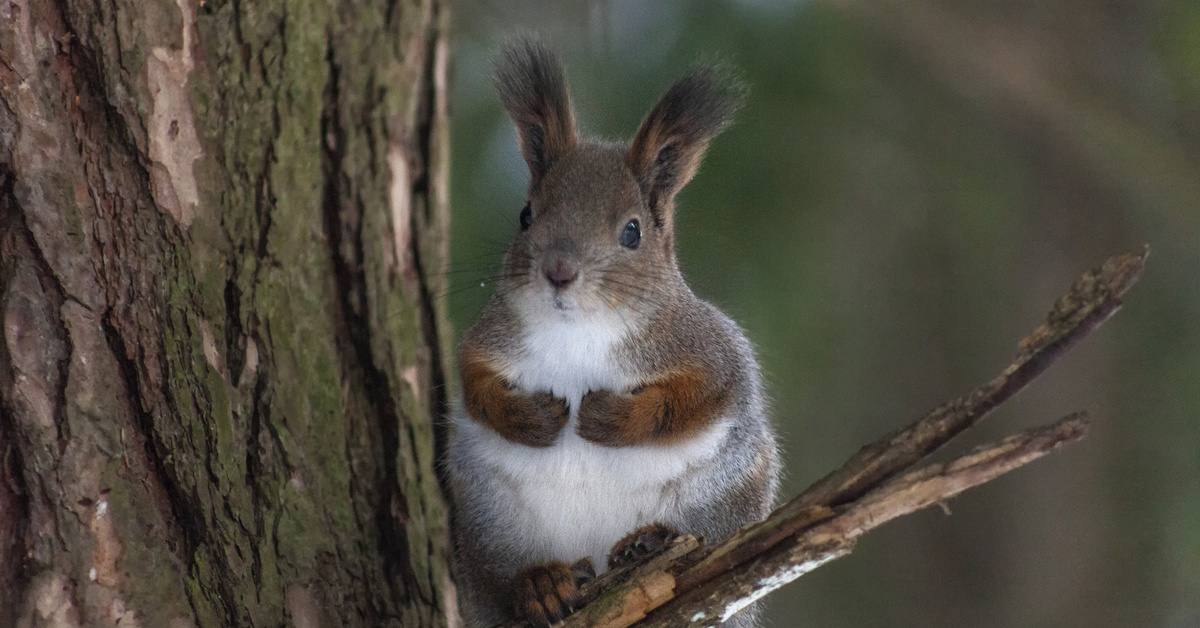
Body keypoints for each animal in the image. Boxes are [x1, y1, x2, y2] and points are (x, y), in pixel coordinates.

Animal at [448, 40, 777, 628]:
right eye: (526, 215)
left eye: (632, 232)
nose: (558, 271)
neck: (579, 331)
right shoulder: (488, 340)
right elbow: (475, 385)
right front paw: (531, 418)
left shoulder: (710, 351)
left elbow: (694, 400)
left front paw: (611, 417)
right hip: (487, 523)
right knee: (502, 585)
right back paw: (540, 585)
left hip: (728, 493)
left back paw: (650, 543)